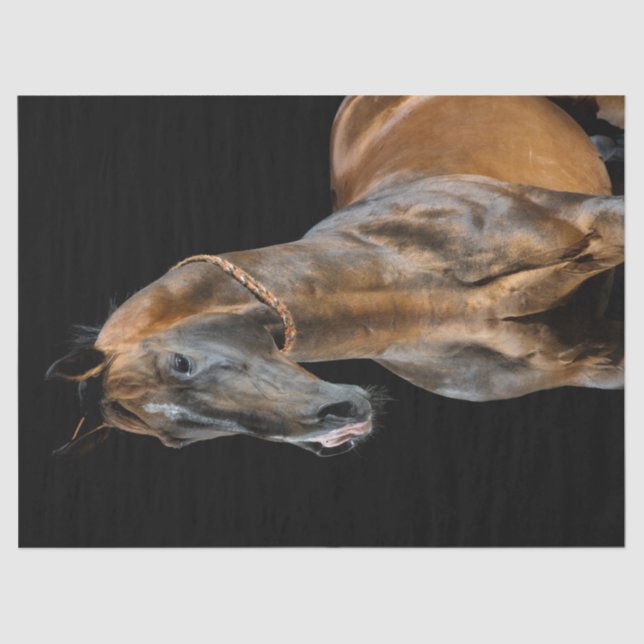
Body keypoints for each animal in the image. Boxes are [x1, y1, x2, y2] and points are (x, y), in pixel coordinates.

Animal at [46, 96, 624, 456]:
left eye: (181, 363)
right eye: (178, 438)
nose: (335, 425)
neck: (414, 284)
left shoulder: (597, 217)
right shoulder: (586, 354)